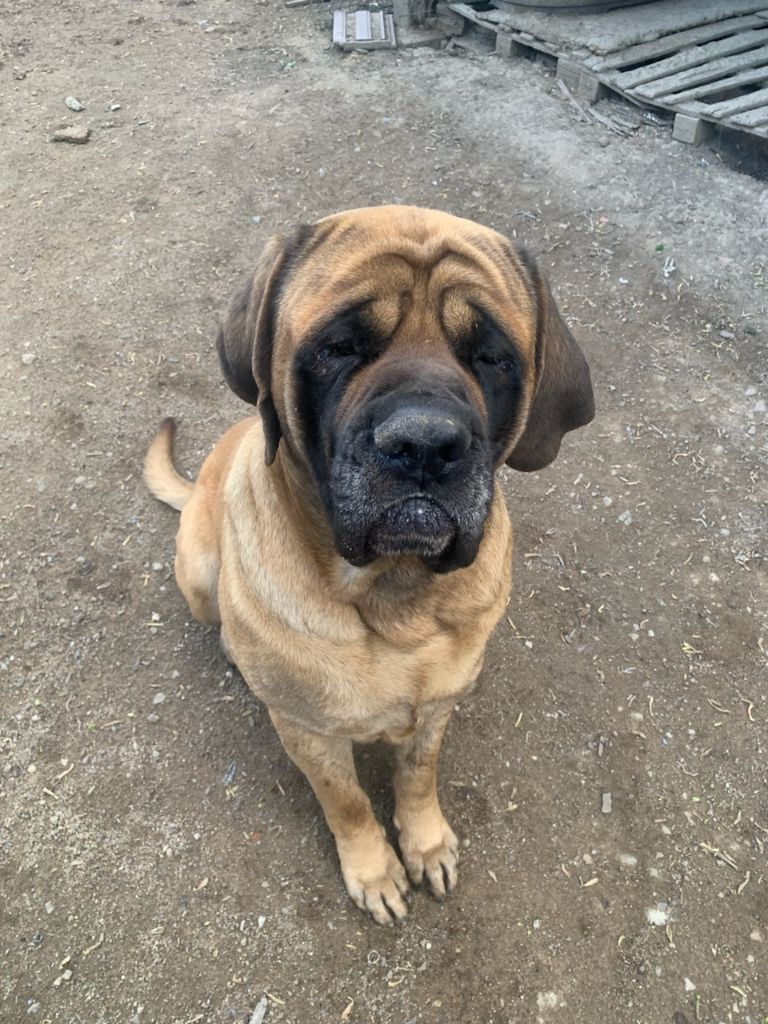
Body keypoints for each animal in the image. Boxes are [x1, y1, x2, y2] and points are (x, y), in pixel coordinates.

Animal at [147, 203, 598, 925]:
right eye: (339, 347)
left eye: (491, 356)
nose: (424, 445)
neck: (394, 599)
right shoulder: (311, 732)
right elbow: (349, 801)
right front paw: (374, 869)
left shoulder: (437, 706)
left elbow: (418, 777)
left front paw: (425, 843)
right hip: (197, 572)